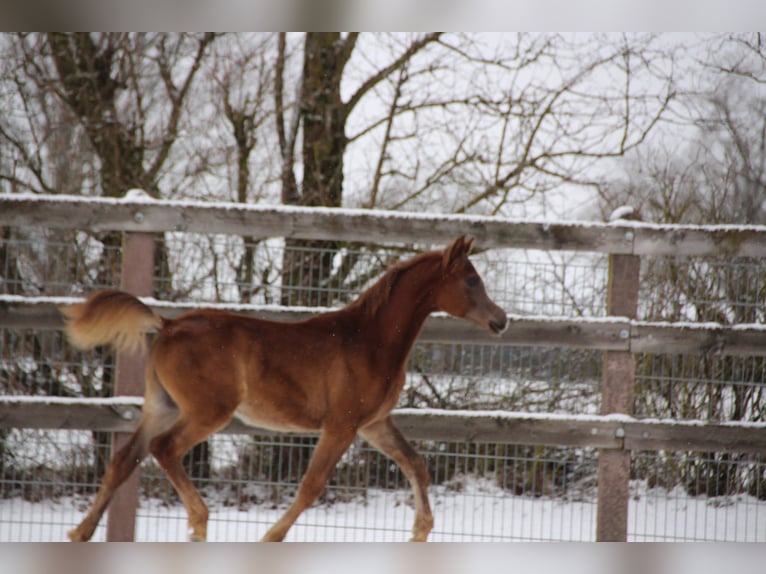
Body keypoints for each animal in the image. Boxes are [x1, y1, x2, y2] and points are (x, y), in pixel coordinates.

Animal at [63, 236, 510, 544]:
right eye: (471, 280)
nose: (502, 320)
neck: (369, 341)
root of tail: (168, 324)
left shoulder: (374, 424)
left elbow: (415, 463)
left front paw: (421, 531)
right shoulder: (342, 426)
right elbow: (312, 486)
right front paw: (270, 538)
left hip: (163, 407)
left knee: (124, 459)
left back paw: (80, 533)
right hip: (207, 411)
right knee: (164, 449)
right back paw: (198, 524)